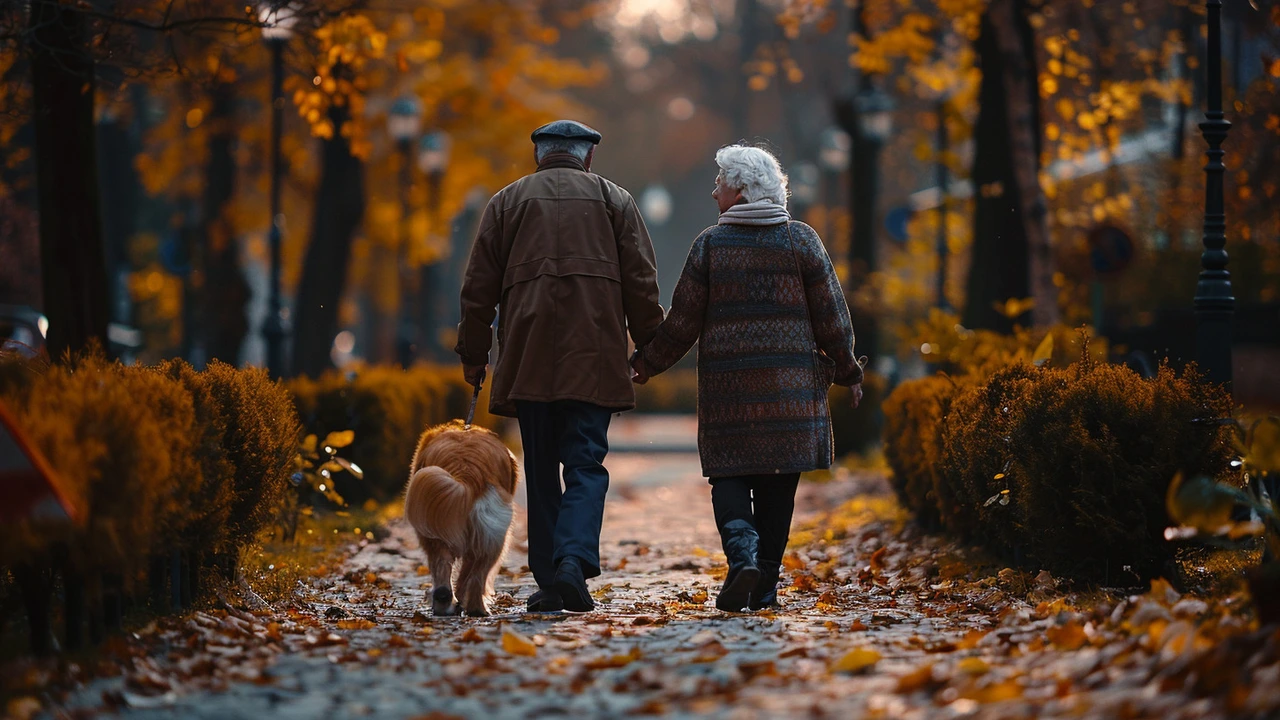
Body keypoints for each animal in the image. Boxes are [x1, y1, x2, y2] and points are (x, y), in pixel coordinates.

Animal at [401, 420, 517, 617]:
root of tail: (467, 473)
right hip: (494, 535)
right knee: (476, 573)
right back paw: (475, 608)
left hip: (436, 529)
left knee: (445, 567)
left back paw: (451, 605)